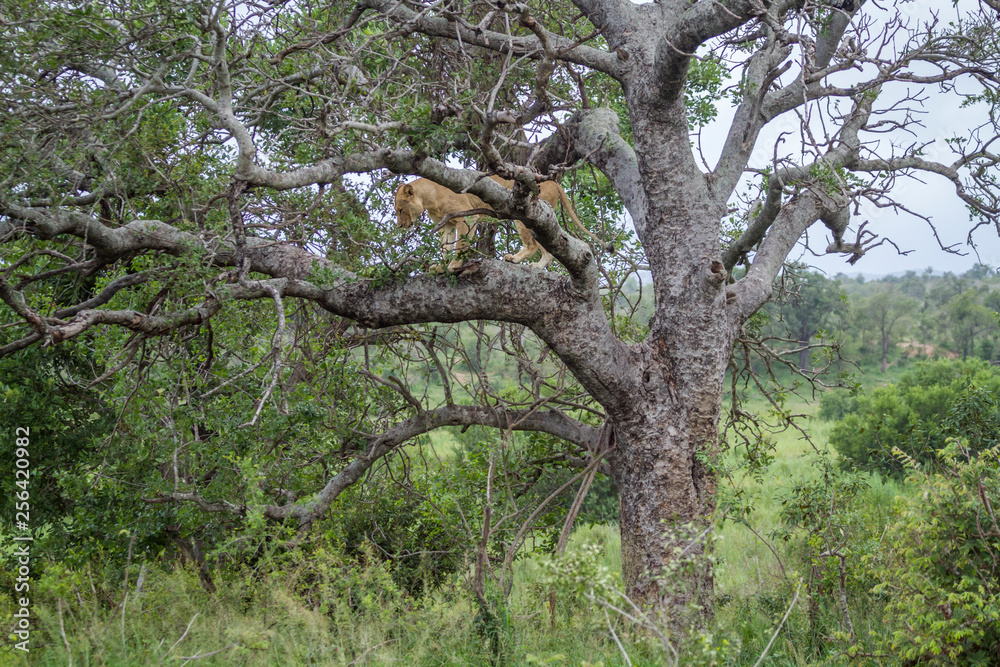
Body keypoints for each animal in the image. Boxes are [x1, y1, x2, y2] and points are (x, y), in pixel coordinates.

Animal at [394, 175, 611, 272]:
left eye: (400, 210)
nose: (400, 226)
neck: (429, 198)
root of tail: (554, 182)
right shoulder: (446, 224)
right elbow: (445, 247)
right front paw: (441, 266)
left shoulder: (466, 217)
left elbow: (460, 244)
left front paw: (455, 264)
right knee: (547, 248)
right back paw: (537, 266)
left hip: (528, 218)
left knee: (533, 245)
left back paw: (514, 259)